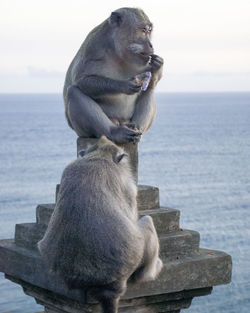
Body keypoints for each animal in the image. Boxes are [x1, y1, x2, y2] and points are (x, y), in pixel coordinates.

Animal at [63, 7, 163, 144]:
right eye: (143, 30)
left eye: (149, 30)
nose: (151, 45)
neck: (117, 52)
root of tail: (120, 122)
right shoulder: (93, 47)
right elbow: (81, 80)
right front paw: (124, 85)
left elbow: (150, 81)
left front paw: (158, 65)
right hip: (82, 130)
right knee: (73, 91)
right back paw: (114, 132)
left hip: (128, 120)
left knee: (149, 90)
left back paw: (136, 128)